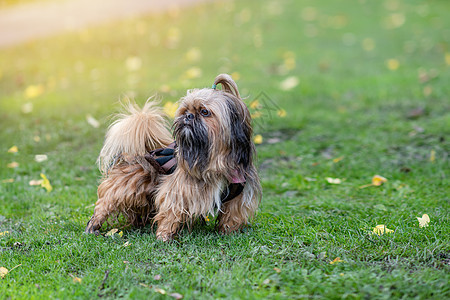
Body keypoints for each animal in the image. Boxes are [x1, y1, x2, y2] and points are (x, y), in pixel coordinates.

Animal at [85, 74, 262, 240]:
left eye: (204, 112)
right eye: (185, 110)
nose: (188, 116)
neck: (215, 161)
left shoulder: (238, 196)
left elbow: (232, 215)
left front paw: (228, 232)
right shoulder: (179, 192)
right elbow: (170, 213)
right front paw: (164, 236)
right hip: (124, 187)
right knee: (104, 204)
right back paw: (93, 226)